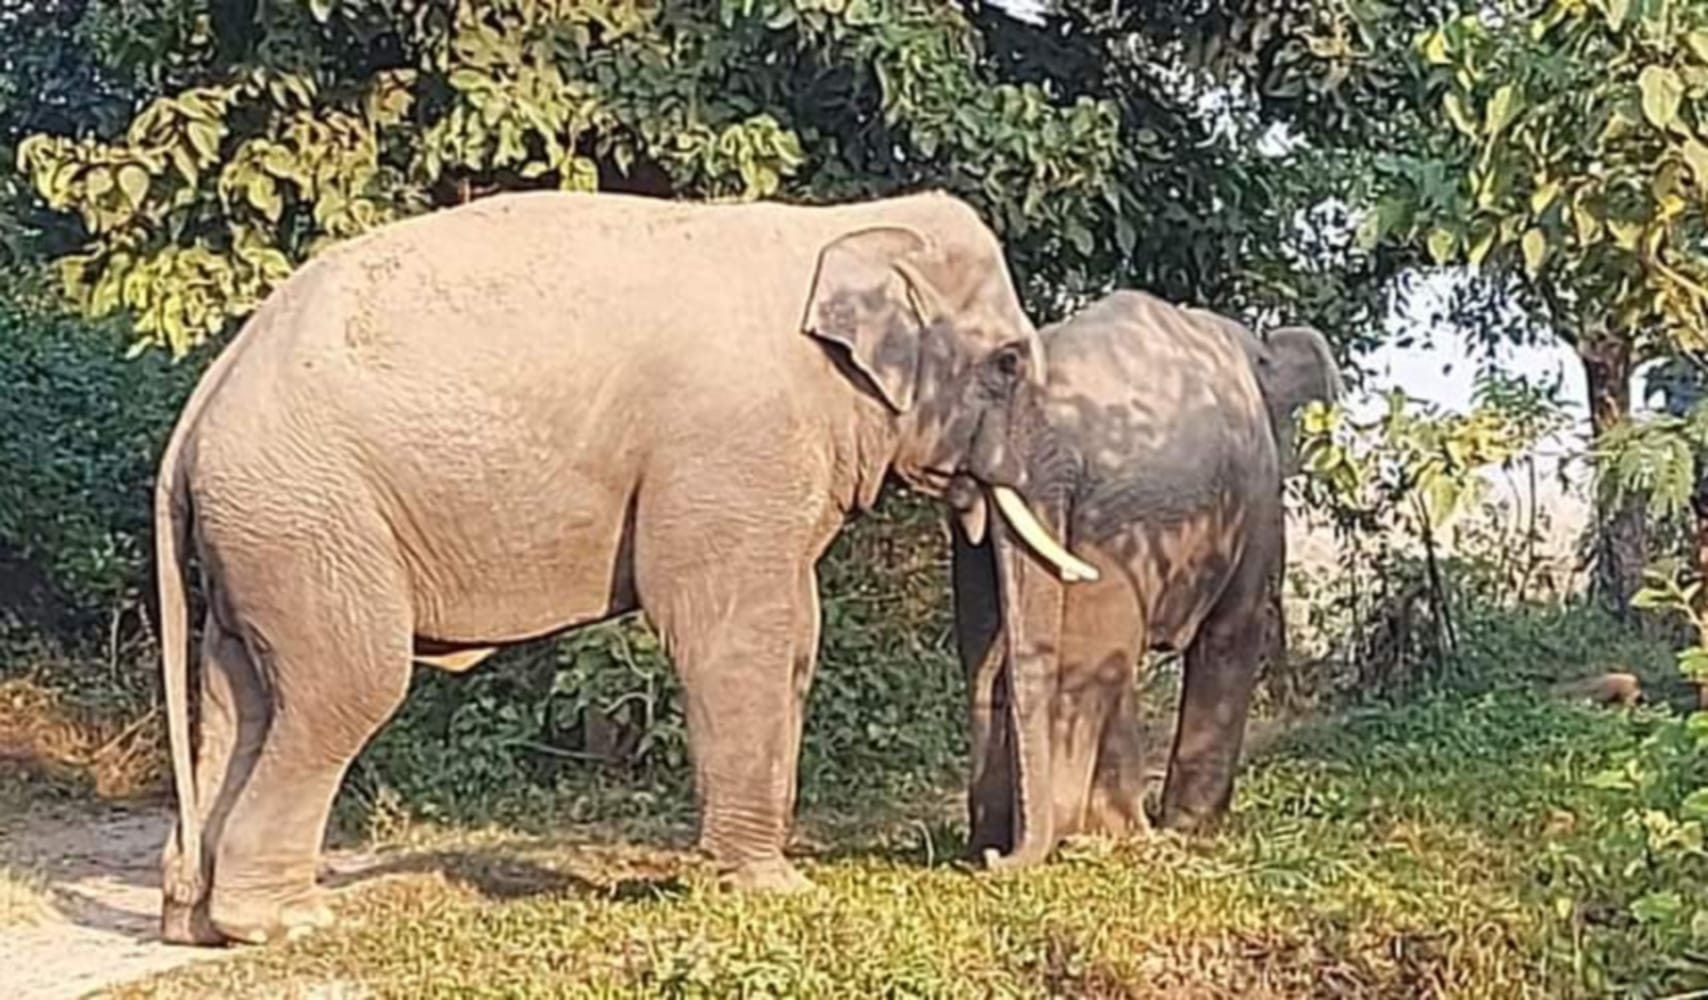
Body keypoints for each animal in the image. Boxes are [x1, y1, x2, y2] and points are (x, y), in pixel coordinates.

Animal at [152, 189, 1103, 946]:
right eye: (1008, 362)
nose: (990, 860)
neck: (838, 227)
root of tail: (204, 399)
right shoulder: (733, 446)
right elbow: (732, 631)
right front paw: (772, 888)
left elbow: (797, 635)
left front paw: (766, 874)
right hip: (309, 514)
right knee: (348, 685)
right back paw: (283, 923)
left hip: (266, 534)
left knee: (240, 693)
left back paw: (197, 923)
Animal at [950, 289, 1343, 869]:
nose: (997, 858)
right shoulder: (1257, 493)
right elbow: (1234, 630)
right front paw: (1194, 829)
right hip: (1119, 513)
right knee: (1096, 651)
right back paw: (1097, 838)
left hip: (992, 522)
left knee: (990, 654)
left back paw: (997, 843)